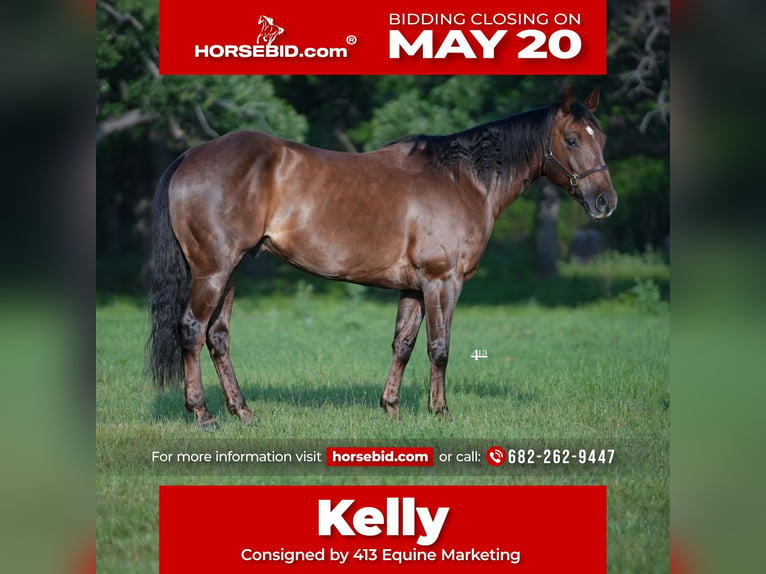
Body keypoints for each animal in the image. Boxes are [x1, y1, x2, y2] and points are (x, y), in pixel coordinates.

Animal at [148, 85, 616, 428]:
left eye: (604, 139)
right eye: (572, 139)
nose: (605, 202)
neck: (461, 180)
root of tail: (190, 155)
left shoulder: (413, 287)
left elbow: (403, 345)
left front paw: (391, 407)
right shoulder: (442, 281)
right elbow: (439, 347)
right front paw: (440, 411)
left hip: (231, 270)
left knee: (218, 336)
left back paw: (243, 412)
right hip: (213, 271)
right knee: (192, 330)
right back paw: (203, 414)